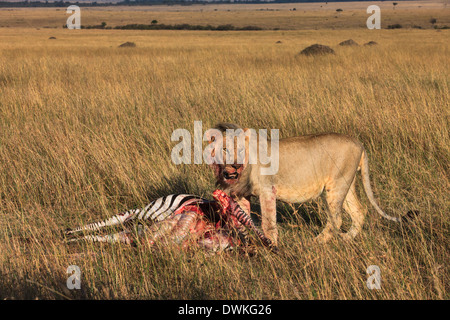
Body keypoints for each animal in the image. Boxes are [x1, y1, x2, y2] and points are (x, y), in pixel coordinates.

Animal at [208, 122, 414, 248]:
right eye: (224, 149)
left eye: (241, 149)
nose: (235, 164)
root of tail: (359, 143)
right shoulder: (242, 195)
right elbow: (243, 219)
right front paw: (245, 242)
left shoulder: (268, 190)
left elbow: (268, 222)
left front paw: (271, 244)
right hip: (346, 184)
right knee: (359, 211)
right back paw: (346, 239)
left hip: (335, 186)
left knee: (337, 219)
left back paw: (317, 242)